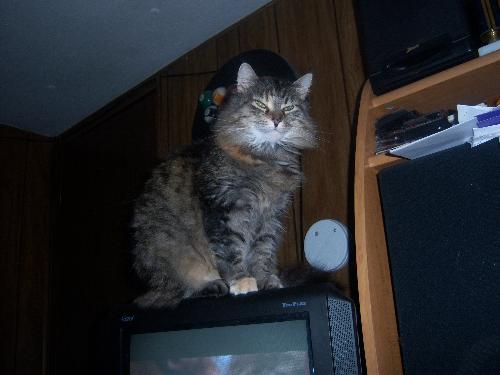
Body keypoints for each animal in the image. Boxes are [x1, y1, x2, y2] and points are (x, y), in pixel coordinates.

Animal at [131, 62, 314, 308]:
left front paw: (265, 280)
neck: (265, 158)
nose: (277, 120)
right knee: (176, 292)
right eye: (260, 104)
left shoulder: (269, 217)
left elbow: (262, 252)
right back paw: (212, 286)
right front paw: (242, 282)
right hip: (167, 253)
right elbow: (230, 248)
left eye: (289, 107)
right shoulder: (224, 208)